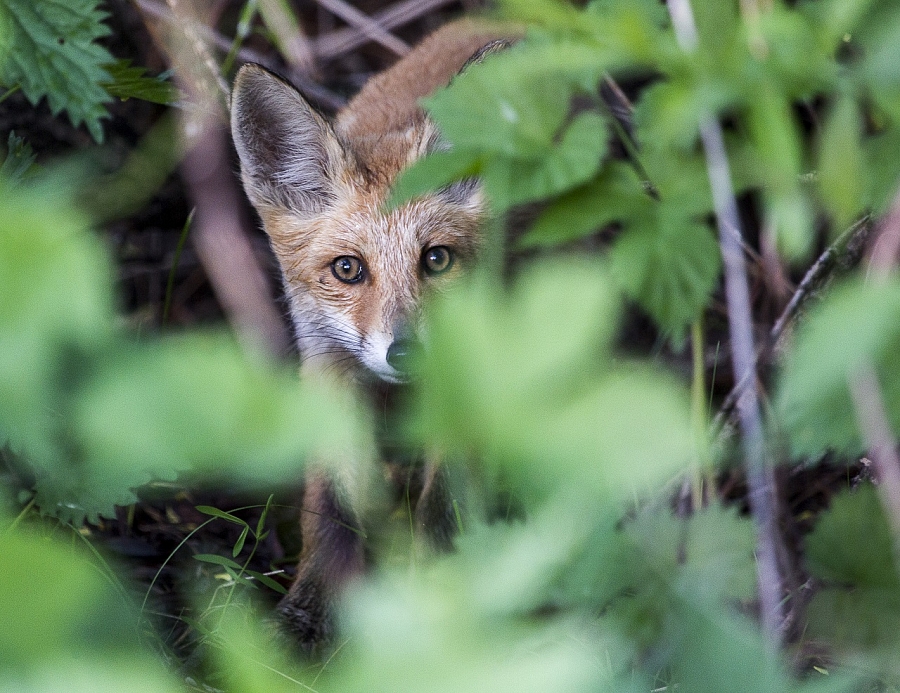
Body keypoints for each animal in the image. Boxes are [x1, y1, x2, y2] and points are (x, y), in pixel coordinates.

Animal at [229, 21, 516, 648]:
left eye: (436, 259)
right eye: (347, 269)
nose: (405, 354)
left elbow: (442, 504)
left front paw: (438, 596)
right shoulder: (325, 365)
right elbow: (333, 504)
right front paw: (311, 607)